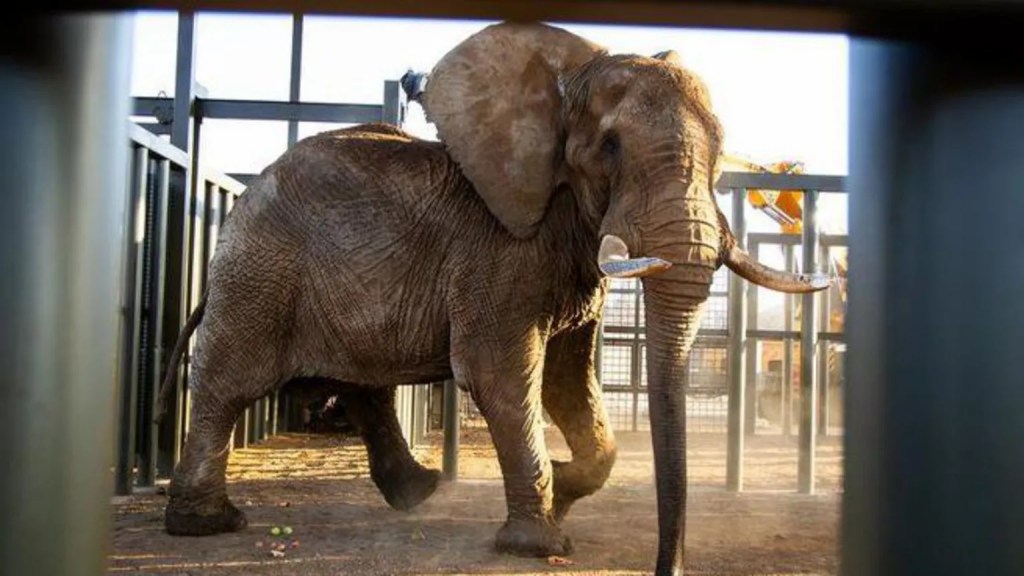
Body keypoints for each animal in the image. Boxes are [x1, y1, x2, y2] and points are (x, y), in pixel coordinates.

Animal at [155, 22, 829, 576]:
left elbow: (567, 378)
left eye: (720, 148)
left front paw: (563, 487)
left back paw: (419, 491)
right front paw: (541, 542)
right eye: (610, 148)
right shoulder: (499, 248)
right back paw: (206, 524)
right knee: (229, 385)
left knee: (363, 385)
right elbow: (499, 375)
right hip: (260, 272)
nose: (670, 568)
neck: (567, 81)